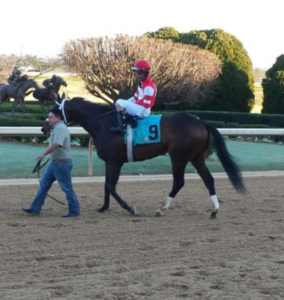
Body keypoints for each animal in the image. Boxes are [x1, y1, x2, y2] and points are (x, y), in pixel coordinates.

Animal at [42, 98, 246, 218]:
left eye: (53, 112)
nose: (44, 127)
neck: (104, 123)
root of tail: (201, 122)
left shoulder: (116, 161)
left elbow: (111, 186)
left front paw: (130, 208)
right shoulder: (109, 161)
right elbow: (106, 185)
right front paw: (103, 207)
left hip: (178, 157)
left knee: (179, 182)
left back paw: (162, 208)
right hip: (196, 157)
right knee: (208, 179)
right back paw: (214, 210)